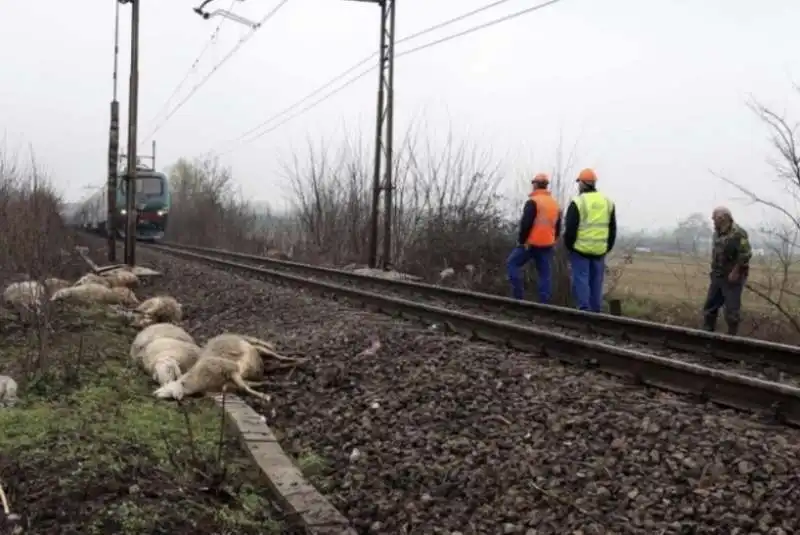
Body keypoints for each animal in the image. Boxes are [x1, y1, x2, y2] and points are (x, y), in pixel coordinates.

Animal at [154, 332, 306, 404]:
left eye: (168, 388)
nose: (155, 395)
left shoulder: (231, 369)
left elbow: (245, 388)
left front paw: (265, 397)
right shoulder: (230, 383)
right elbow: (252, 385)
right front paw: (270, 388)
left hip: (256, 348)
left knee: (279, 356)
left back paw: (301, 359)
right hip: (261, 361)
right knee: (279, 363)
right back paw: (295, 367)